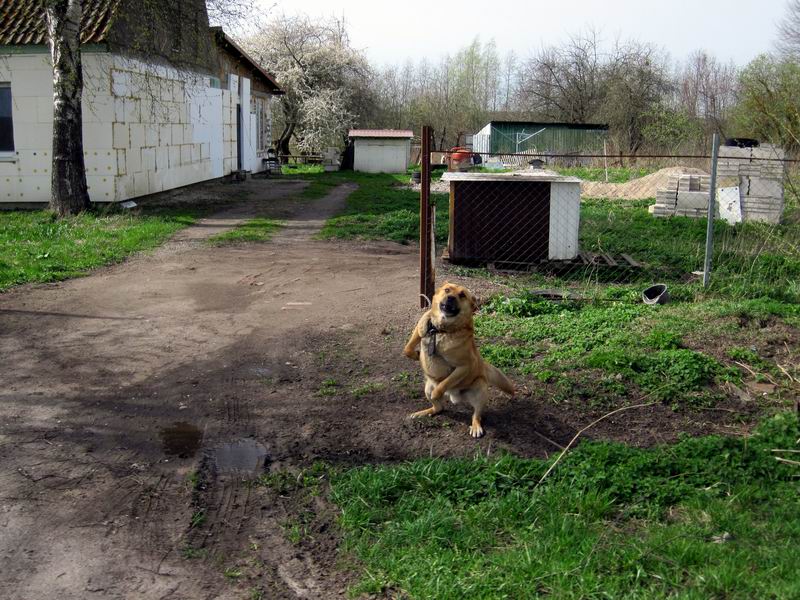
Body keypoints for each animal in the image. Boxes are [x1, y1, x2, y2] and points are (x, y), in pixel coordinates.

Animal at [404, 282, 516, 436]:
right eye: (447, 290)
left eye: (462, 295)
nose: (450, 297)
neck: (440, 330)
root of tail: (454, 397)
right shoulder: (420, 328)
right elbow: (407, 349)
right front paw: (415, 355)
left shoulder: (464, 367)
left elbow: (445, 382)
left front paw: (437, 392)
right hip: (427, 387)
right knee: (438, 408)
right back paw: (424, 412)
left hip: (480, 390)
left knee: (476, 414)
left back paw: (475, 427)